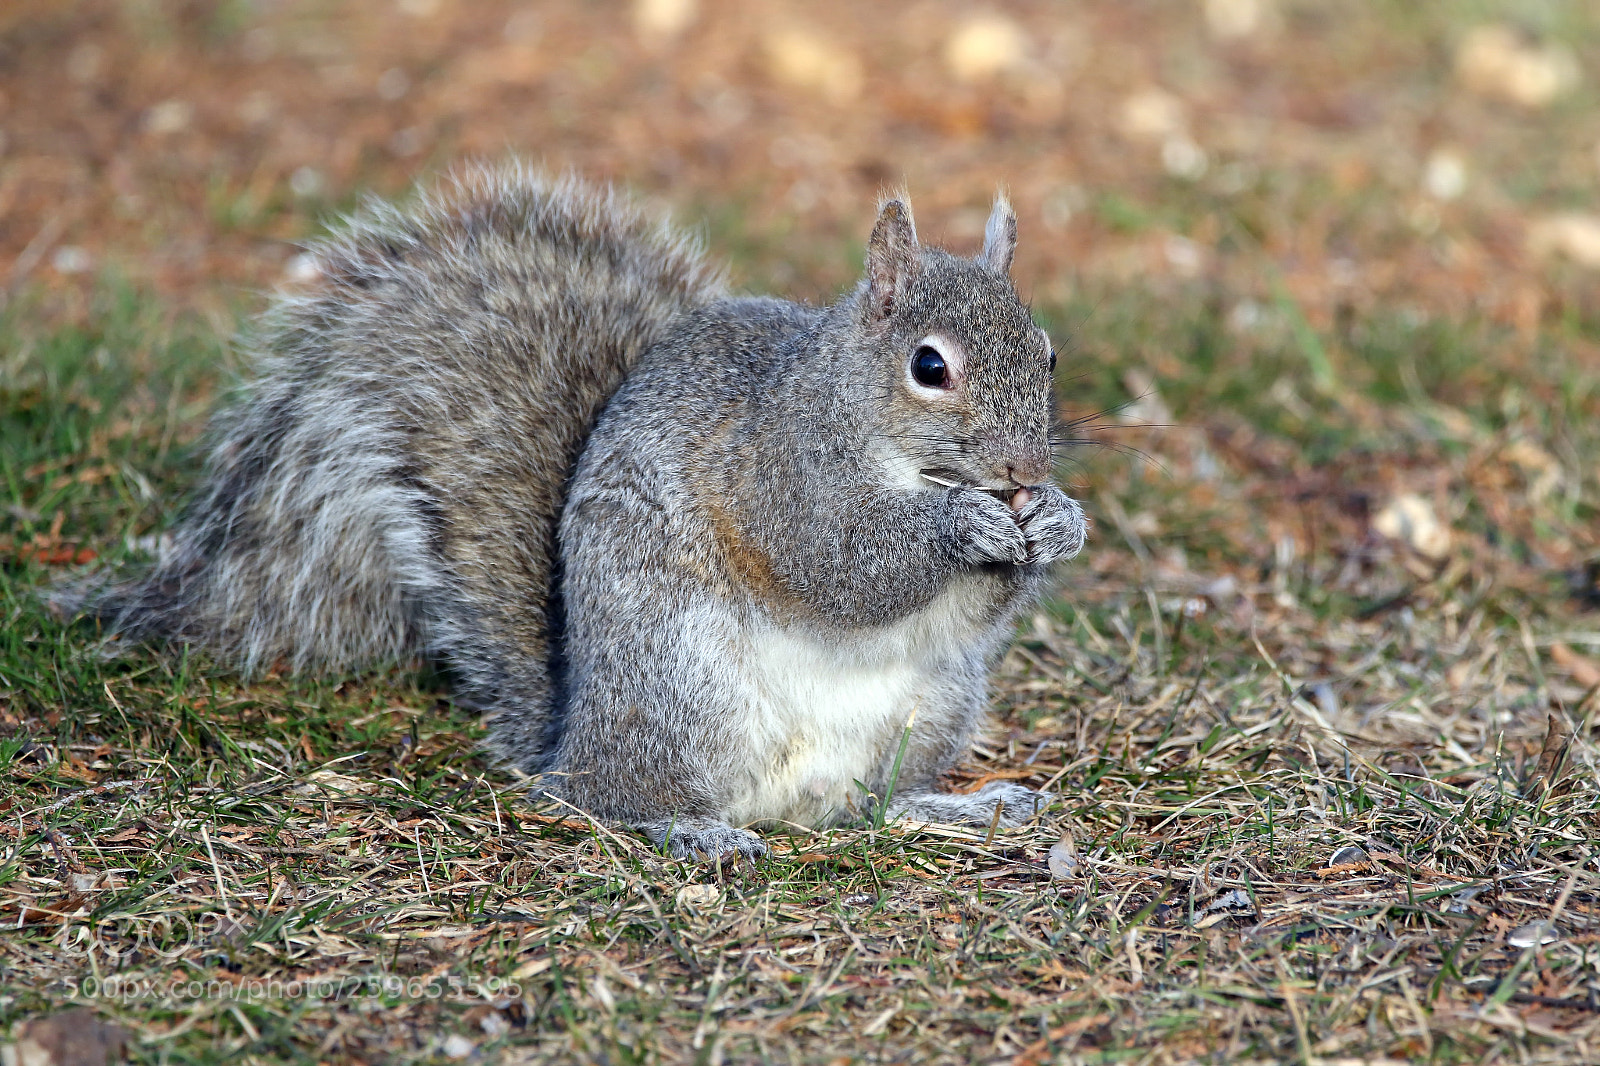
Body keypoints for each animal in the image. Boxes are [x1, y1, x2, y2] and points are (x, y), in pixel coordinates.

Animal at [71, 164, 1089, 859]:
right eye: (929, 366)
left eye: (1047, 354)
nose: (1026, 467)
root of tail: (572, 737)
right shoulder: (777, 476)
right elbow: (840, 563)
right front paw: (965, 529)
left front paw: (1057, 523)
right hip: (682, 685)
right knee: (621, 800)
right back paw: (693, 830)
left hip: (935, 703)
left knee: (869, 804)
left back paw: (954, 803)